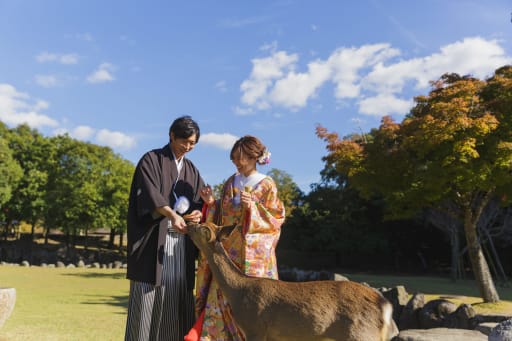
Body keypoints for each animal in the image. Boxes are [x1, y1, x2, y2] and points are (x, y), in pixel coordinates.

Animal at [187, 222, 400, 338]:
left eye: (200, 227)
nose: (188, 223)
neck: (238, 292)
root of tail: (386, 306)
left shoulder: (255, 326)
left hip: (360, 333)